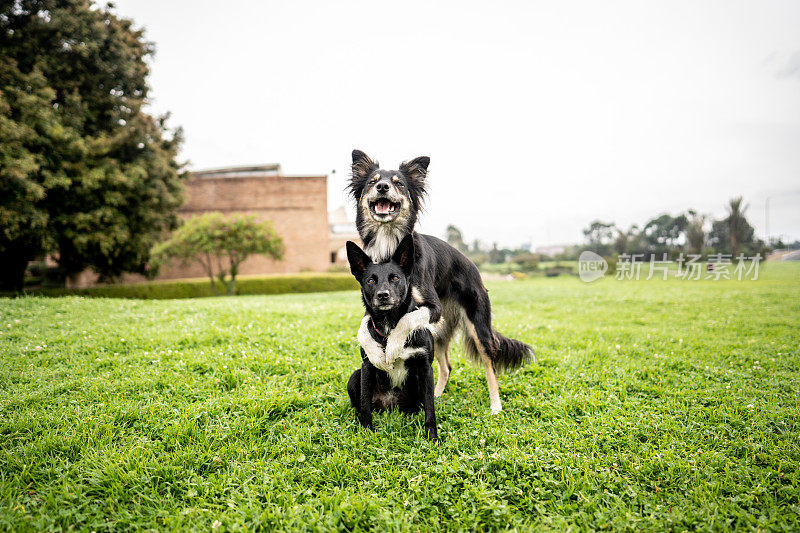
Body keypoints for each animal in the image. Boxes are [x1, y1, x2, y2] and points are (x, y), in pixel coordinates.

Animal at [346, 149, 536, 412]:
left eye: (398, 183)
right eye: (372, 182)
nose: (382, 186)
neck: (388, 243)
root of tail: (473, 266)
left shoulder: (432, 306)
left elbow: (406, 320)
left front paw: (392, 345)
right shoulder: (374, 302)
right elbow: (364, 329)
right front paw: (374, 352)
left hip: (477, 326)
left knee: (490, 364)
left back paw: (495, 405)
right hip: (438, 332)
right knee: (446, 366)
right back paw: (435, 395)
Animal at [346, 235, 440, 438]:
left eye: (395, 277)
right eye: (370, 281)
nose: (383, 295)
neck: (390, 327)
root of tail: (391, 405)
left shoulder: (425, 368)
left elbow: (430, 407)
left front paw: (432, 436)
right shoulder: (367, 367)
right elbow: (365, 406)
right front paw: (366, 430)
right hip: (355, 376)